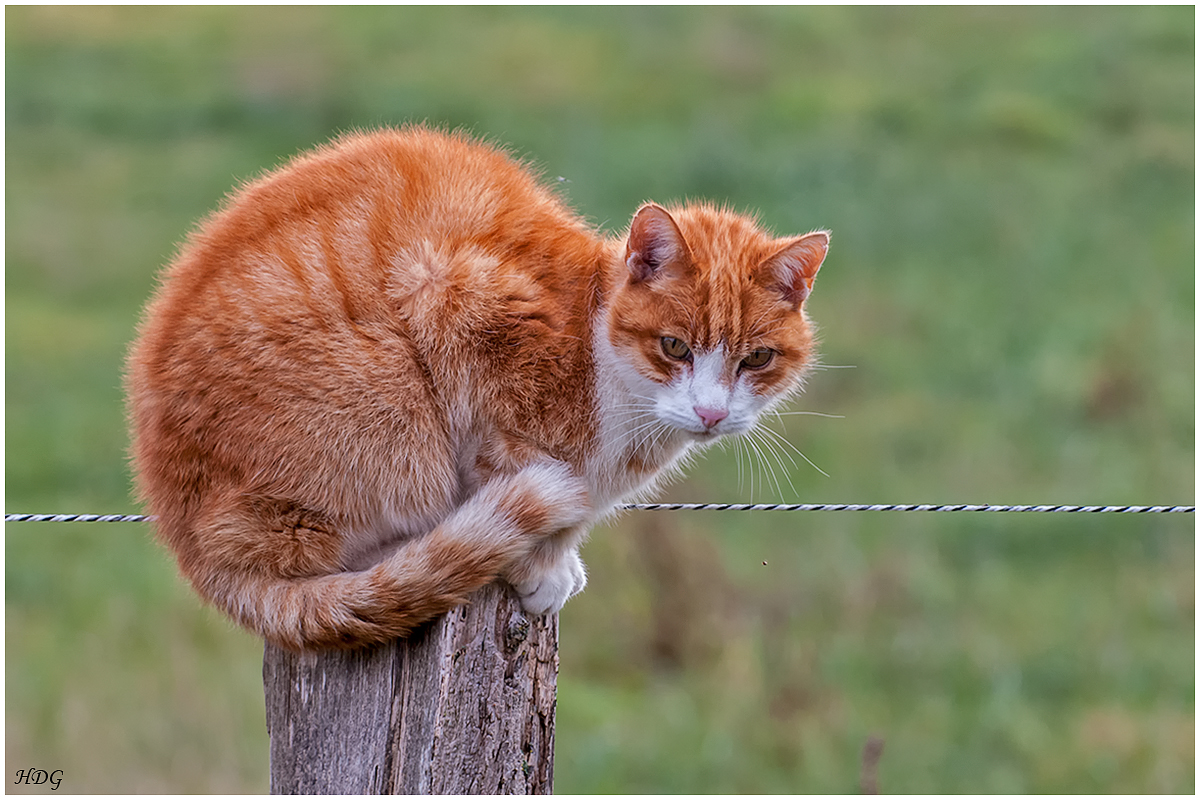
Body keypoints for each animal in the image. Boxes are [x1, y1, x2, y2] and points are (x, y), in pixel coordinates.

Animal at [126, 125, 830, 652]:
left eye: (757, 359)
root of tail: (185, 535)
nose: (711, 413)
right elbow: (519, 476)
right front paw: (530, 566)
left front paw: (555, 558)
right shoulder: (458, 297)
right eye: (675, 347)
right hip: (392, 413)